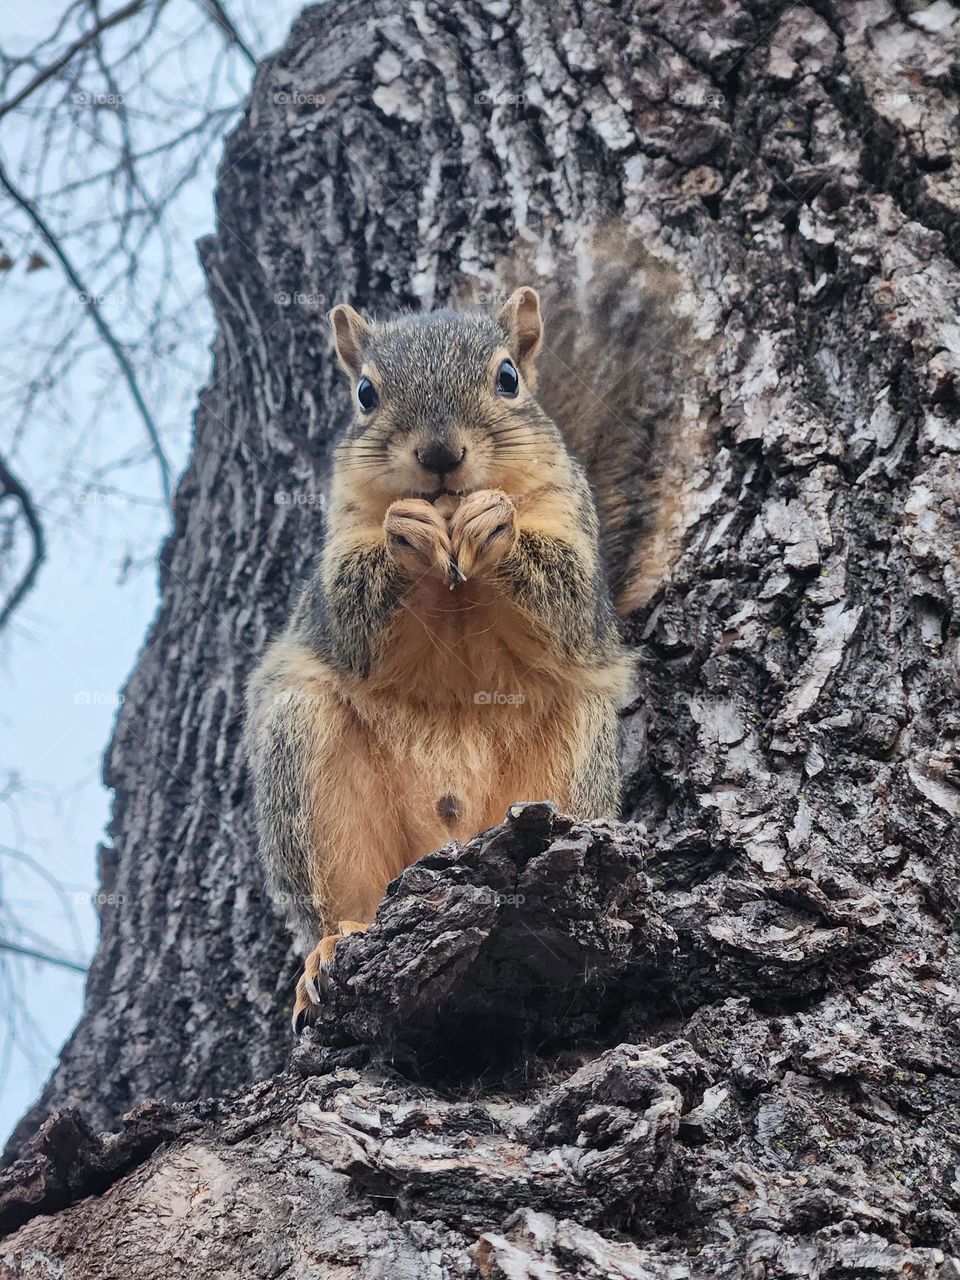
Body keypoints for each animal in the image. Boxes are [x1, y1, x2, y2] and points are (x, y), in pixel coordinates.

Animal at [244, 234, 691, 1029]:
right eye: (365, 394)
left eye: (508, 378)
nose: (440, 456)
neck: (453, 570)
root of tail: (448, 838)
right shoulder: (334, 559)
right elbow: (349, 615)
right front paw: (406, 529)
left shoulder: (575, 545)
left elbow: (569, 598)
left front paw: (495, 522)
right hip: (308, 759)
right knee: (341, 899)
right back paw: (329, 947)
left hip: (569, 757)